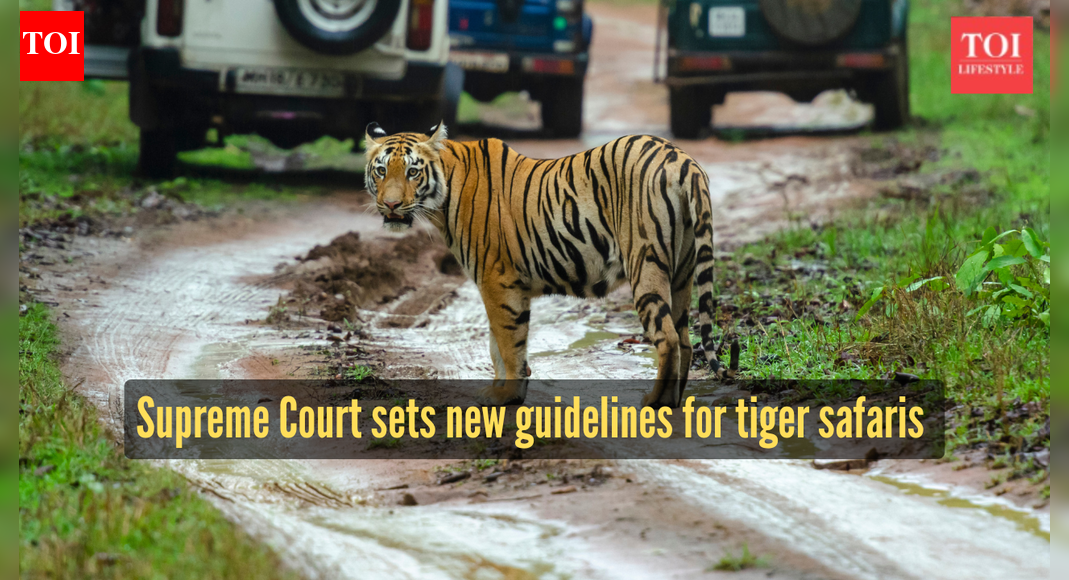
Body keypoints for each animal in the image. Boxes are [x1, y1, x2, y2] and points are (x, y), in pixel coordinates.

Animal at [363, 122, 729, 408]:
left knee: (667, 337)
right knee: (685, 338)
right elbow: (498, 344)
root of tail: (682, 159)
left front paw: (506, 395)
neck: (444, 197)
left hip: (646, 263)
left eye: (412, 171)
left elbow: (507, 342)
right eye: (381, 170)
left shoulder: (497, 280)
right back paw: (676, 400)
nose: (390, 205)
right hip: (682, 272)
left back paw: (656, 402)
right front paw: (503, 389)